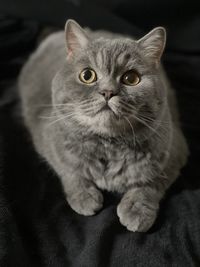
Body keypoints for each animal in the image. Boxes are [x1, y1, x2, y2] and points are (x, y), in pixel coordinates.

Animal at [18, 19, 188, 232]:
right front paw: (84, 196)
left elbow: (151, 183)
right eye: (87, 75)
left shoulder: (175, 151)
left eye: (131, 78)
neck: (108, 146)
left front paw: (136, 209)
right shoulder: (48, 140)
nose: (108, 92)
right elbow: (70, 170)